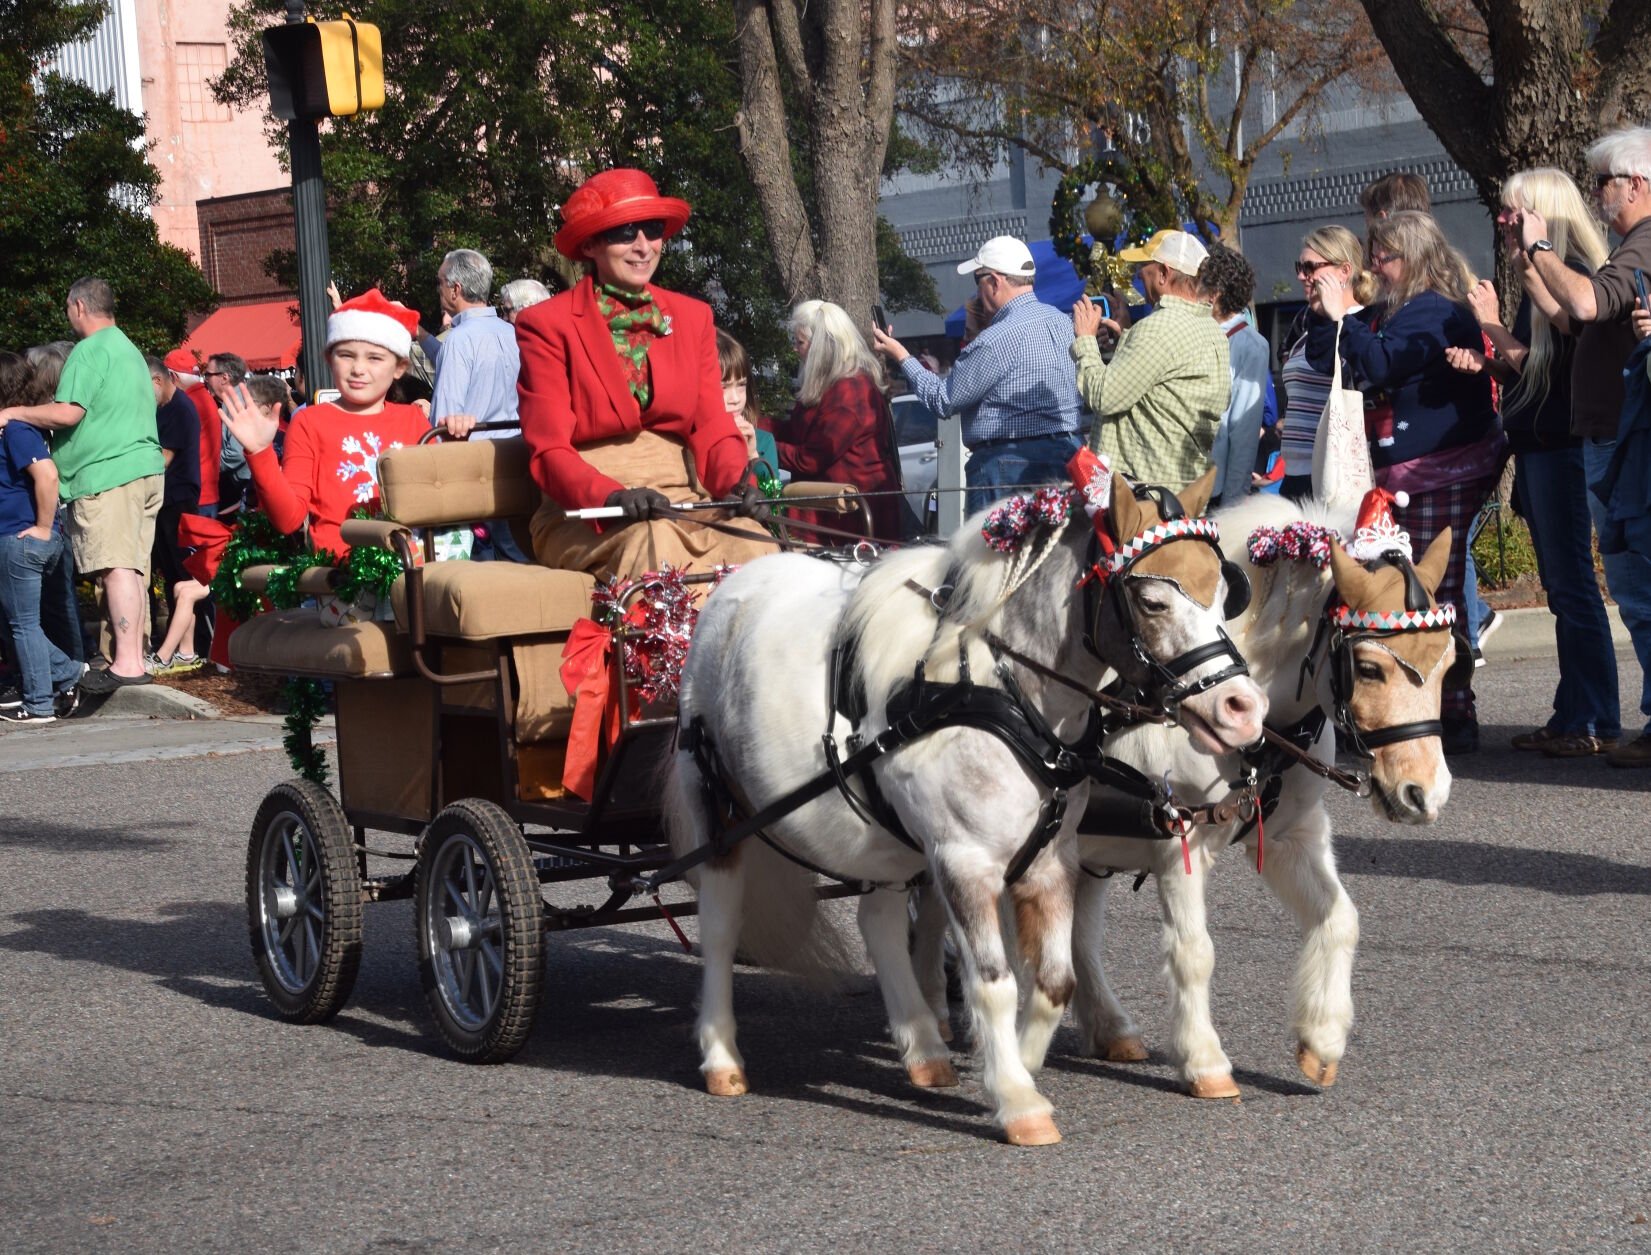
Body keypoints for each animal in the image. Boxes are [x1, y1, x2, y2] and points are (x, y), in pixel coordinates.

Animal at [657, 468, 1261, 1149]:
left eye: (1225, 596)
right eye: (1155, 602)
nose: (1244, 709)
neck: (1004, 695)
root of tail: (731, 588)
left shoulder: (1051, 858)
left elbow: (1054, 980)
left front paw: (1017, 1063)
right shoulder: (966, 860)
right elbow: (993, 983)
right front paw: (1018, 1100)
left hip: (879, 835)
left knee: (879, 923)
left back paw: (923, 1049)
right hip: (720, 814)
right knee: (721, 925)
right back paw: (721, 1055)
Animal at [1063, 488, 1452, 1096]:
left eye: (1451, 661)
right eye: (1369, 669)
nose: (1425, 794)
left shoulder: (1295, 834)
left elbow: (1339, 919)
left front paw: (1322, 1039)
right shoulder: (1178, 841)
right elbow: (1193, 952)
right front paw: (1204, 1061)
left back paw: (1108, 1027)